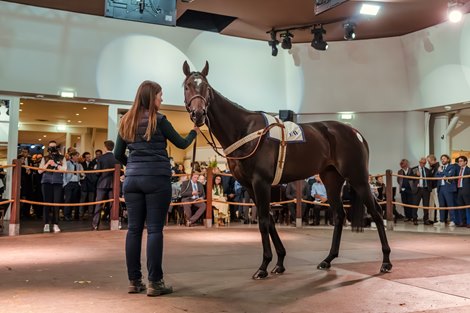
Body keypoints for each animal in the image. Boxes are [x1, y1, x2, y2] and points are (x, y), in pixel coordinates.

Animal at [182, 61, 392, 278]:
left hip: (358, 178)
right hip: (332, 179)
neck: (244, 131)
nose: (198, 114)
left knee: (376, 212)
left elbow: (264, 221)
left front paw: (263, 266)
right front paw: (280, 262)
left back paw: (385, 262)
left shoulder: (261, 182)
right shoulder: (250, 186)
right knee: (339, 215)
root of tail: (355, 132)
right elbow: (269, 220)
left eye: (206, 88)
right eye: (187, 86)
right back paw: (328, 259)